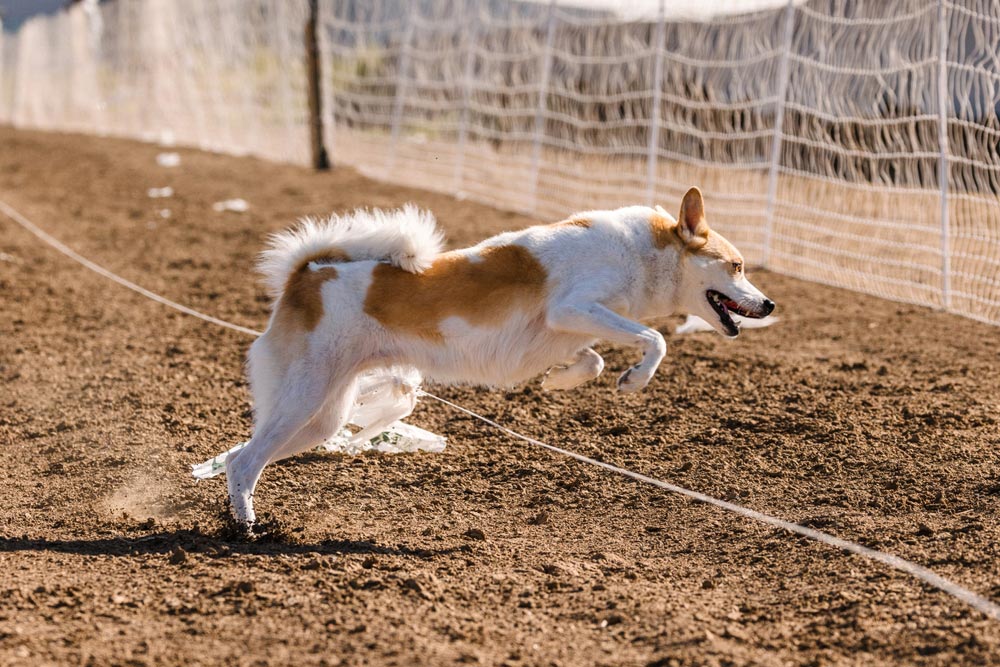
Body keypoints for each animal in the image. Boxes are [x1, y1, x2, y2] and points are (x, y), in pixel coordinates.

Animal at [227, 189, 772, 528]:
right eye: (737, 266)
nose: (768, 305)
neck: (640, 251)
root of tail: (305, 274)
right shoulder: (572, 307)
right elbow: (655, 339)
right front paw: (635, 379)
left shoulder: (571, 326)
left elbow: (592, 360)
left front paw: (559, 382)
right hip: (304, 399)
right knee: (245, 461)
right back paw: (248, 528)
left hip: (323, 416)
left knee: (241, 458)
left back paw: (239, 515)